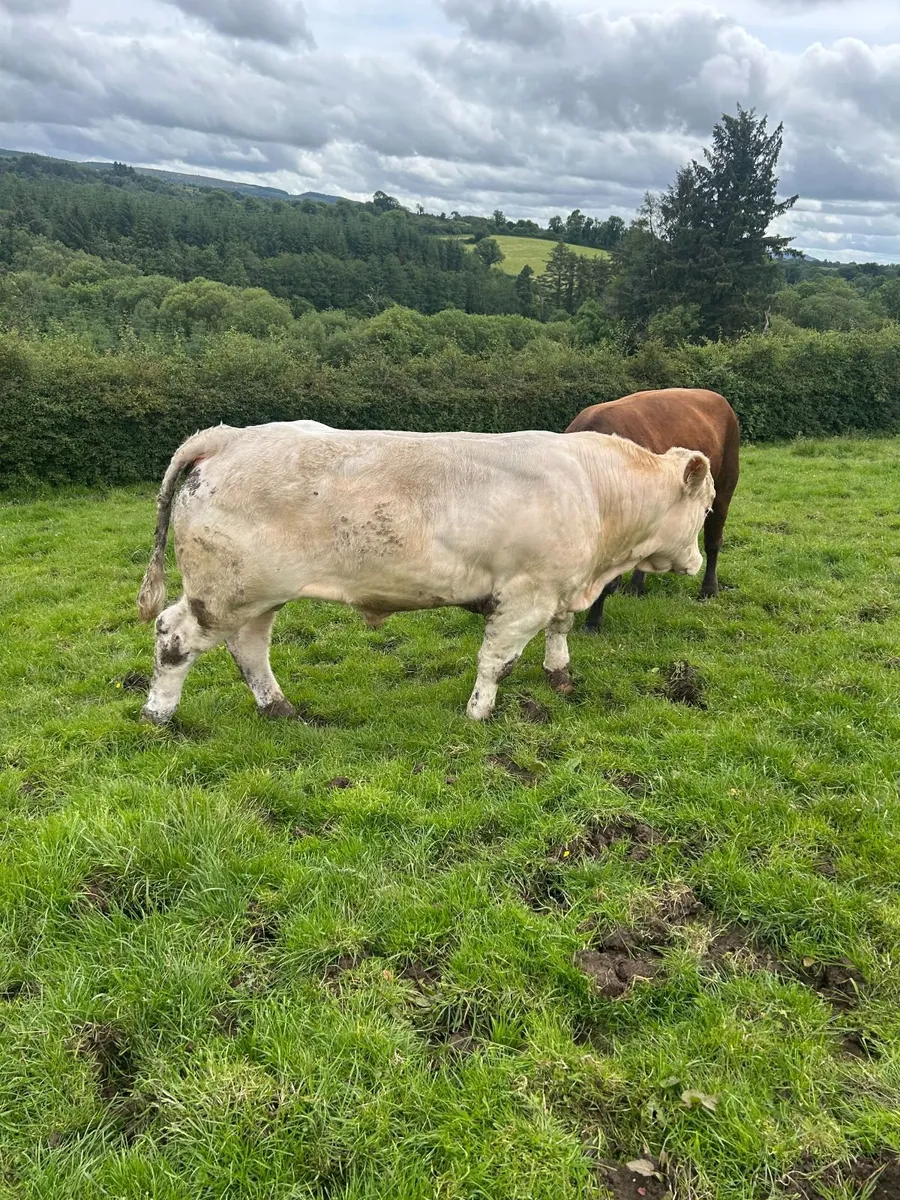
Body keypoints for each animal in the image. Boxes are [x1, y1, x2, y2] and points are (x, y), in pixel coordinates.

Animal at [136, 421, 714, 725]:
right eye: (707, 506)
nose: (698, 562)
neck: (593, 490)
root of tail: (229, 436)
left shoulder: (560, 588)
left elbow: (560, 631)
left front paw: (559, 675)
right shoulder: (524, 594)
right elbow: (498, 661)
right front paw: (479, 713)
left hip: (257, 594)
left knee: (250, 647)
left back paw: (279, 707)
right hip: (224, 592)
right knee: (175, 636)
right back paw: (159, 714)